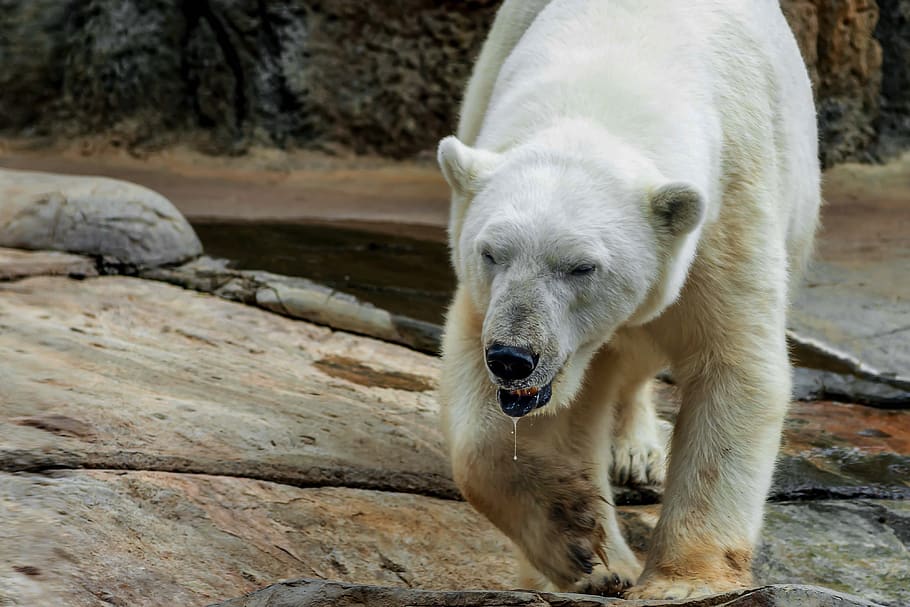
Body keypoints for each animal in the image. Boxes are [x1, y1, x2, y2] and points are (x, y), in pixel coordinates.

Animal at [436, 0, 820, 600]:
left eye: (581, 267)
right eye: (491, 253)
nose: (513, 357)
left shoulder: (730, 206)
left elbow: (734, 366)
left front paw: (681, 582)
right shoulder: (486, 293)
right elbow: (488, 437)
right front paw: (584, 552)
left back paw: (638, 452)